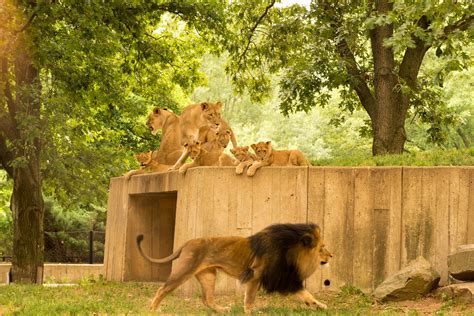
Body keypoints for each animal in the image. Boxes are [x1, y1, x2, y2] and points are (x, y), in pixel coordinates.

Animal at [135, 222, 332, 314]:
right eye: (322, 248)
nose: (331, 256)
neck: (291, 251)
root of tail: (186, 243)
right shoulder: (255, 275)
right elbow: (250, 299)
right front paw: (250, 313)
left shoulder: (285, 279)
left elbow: (307, 295)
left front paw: (321, 306)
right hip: (184, 270)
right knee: (162, 289)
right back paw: (152, 310)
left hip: (208, 275)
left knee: (207, 299)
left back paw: (223, 310)